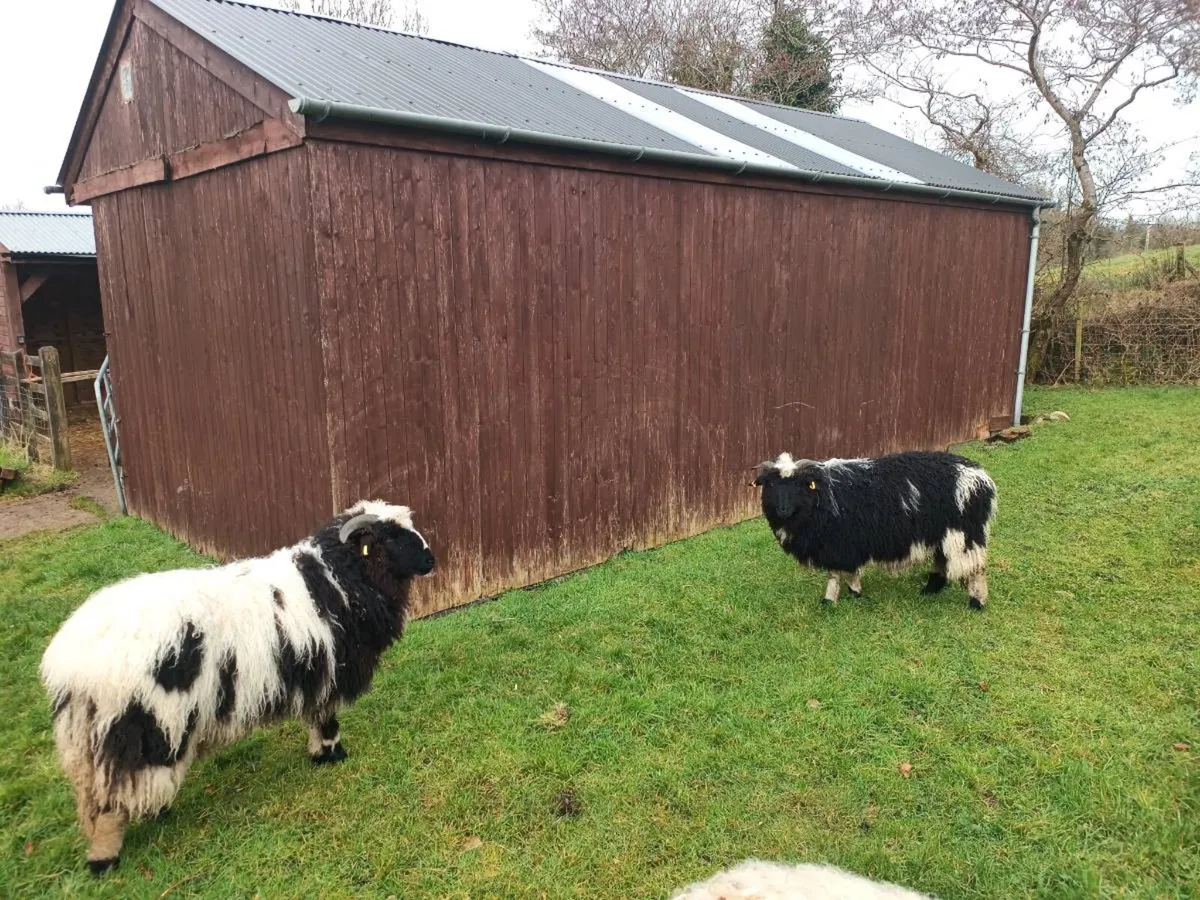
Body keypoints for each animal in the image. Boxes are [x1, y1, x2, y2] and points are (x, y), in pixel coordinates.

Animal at [40, 500, 435, 875]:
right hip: (138, 725)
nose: (431, 560)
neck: (338, 580)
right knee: (113, 801)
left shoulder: (311, 673)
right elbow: (326, 719)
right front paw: (333, 754)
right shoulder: (328, 672)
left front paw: (318, 755)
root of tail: (68, 663)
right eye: (390, 537)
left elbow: (312, 717)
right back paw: (106, 858)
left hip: (90, 740)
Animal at [753, 451, 997, 609]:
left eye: (798, 485)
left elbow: (836, 574)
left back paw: (976, 602)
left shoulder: (838, 544)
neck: (819, 498)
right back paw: (931, 589)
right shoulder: (843, 545)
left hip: (964, 535)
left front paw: (830, 600)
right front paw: (854, 592)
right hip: (942, 535)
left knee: (975, 570)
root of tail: (982, 478)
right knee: (941, 561)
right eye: (771, 484)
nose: (783, 510)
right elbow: (847, 572)